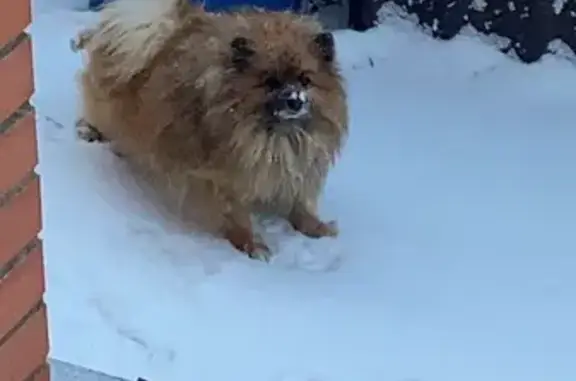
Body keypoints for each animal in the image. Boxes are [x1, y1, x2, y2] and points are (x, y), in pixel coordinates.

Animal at [73, 0, 348, 260]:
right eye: (271, 82)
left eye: (305, 80)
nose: (295, 101)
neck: (275, 136)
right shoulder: (222, 180)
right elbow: (236, 216)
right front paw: (252, 245)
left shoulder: (296, 168)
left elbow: (300, 202)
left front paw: (315, 227)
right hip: (107, 107)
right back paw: (90, 131)